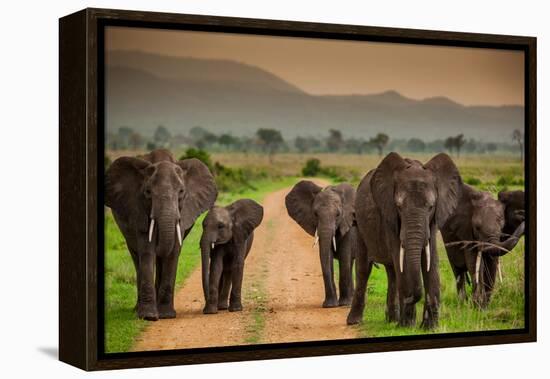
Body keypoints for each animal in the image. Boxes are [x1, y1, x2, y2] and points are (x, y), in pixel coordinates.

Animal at [104, 149, 217, 320]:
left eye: (181, 192)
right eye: (148, 192)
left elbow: (173, 253)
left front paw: (166, 315)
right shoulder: (139, 210)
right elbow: (147, 250)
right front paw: (149, 316)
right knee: (137, 257)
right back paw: (137, 310)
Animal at [350, 152, 462, 330]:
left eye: (431, 207)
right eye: (399, 207)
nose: (410, 297)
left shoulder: (432, 221)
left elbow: (431, 260)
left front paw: (430, 327)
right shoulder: (390, 217)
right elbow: (402, 262)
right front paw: (407, 325)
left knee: (392, 272)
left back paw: (392, 320)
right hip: (360, 225)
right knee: (364, 268)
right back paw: (355, 321)